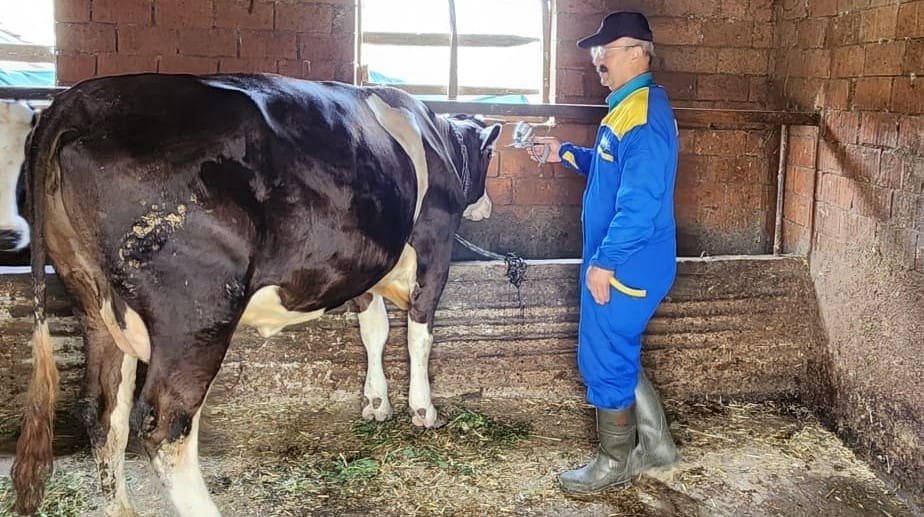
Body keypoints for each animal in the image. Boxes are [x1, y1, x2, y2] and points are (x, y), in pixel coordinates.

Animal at [10, 73, 502, 516]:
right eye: (489, 156)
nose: (487, 206)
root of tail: (74, 103)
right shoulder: (435, 244)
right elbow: (420, 333)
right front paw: (423, 409)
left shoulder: (363, 265)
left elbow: (373, 331)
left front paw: (376, 402)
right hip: (197, 310)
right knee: (164, 423)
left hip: (91, 300)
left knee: (102, 410)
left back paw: (121, 508)